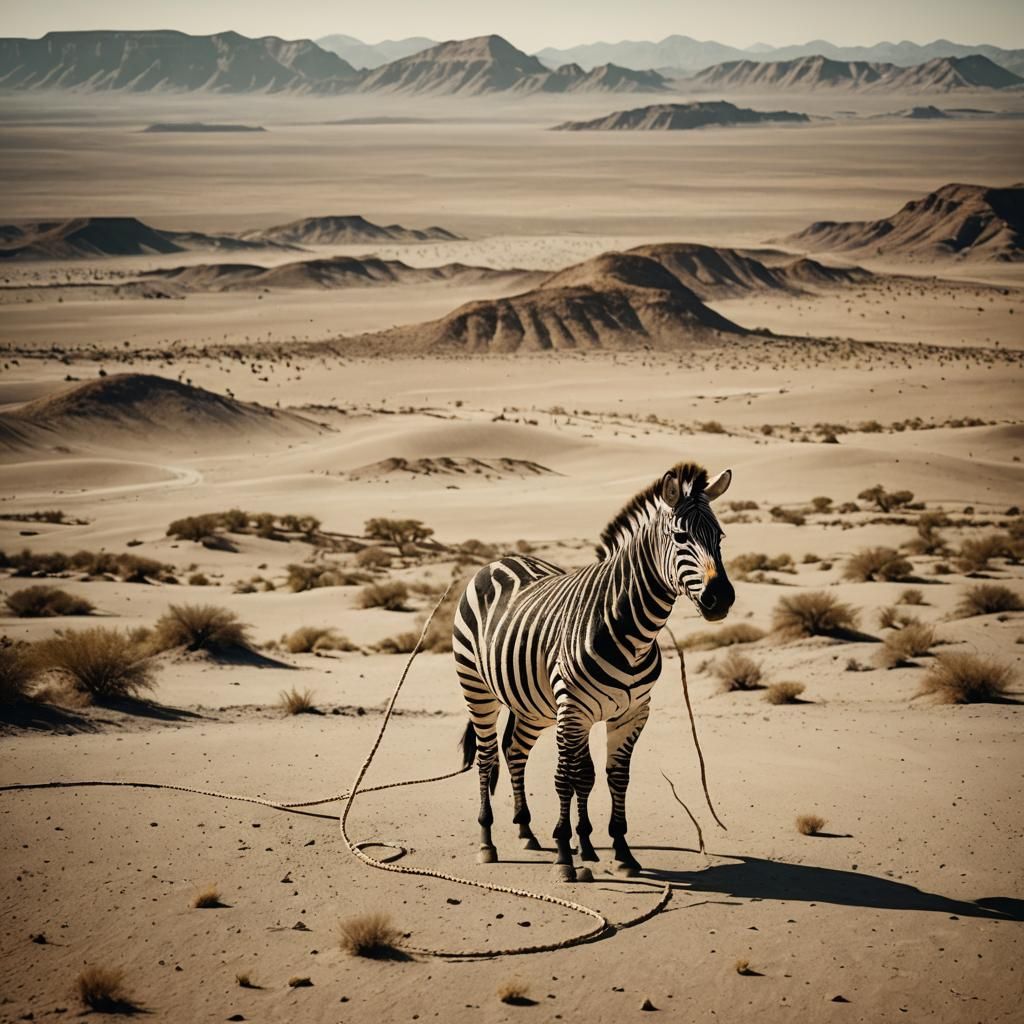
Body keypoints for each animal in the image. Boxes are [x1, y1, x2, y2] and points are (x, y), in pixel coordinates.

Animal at [453, 461, 735, 881]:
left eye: (720, 537)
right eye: (681, 537)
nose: (722, 598)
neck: (631, 630)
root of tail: (500, 560)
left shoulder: (631, 713)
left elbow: (606, 776)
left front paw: (615, 850)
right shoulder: (574, 711)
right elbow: (566, 777)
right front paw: (565, 855)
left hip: (534, 706)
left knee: (514, 751)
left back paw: (526, 830)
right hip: (478, 689)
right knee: (487, 758)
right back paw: (488, 842)